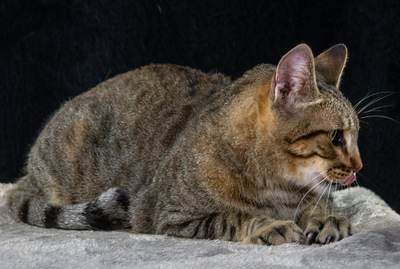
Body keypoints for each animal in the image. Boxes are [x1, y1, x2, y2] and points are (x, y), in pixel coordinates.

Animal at [6, 44, 362, 245]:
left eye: (356, 135)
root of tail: (29, 172)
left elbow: (321, 203)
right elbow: (232, 216)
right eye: (335, 136)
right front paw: (270, 224)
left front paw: (324, 218)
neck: (278, 186)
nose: (359, 166)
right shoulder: (167, 213)